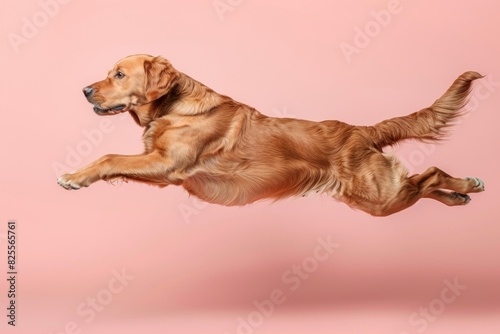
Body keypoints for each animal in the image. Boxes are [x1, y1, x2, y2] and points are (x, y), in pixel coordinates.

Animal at [57, 54, 484, 217]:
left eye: (119, 74)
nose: (85, 90)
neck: (174, 107)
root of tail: (361, 130)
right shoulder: (159, 168)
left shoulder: (166, 164)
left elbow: (109, 157)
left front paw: (74, 177)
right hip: (373, 198)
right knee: (423, 182)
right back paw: (458, 197)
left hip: (380, 195)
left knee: (429, 174)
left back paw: (469, 185)